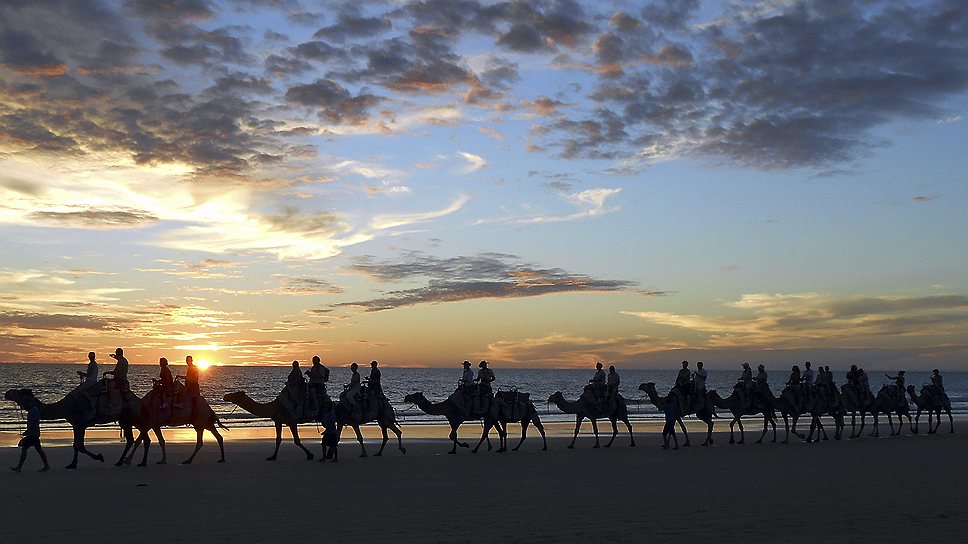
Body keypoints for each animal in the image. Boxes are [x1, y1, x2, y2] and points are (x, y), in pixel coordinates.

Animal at [5, 386, 137, 468]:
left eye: (19, 392)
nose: (7, 393)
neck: (65, 407)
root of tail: (135, 398)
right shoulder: (76, 424)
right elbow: (76, 445)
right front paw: (73, 464)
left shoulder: (79, 424)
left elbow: (80, 446)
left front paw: (98, 457)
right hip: (124, 419)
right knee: (130, 439)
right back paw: (121, 461)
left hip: (127, 417)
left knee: (131, 439)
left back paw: (121, 461)